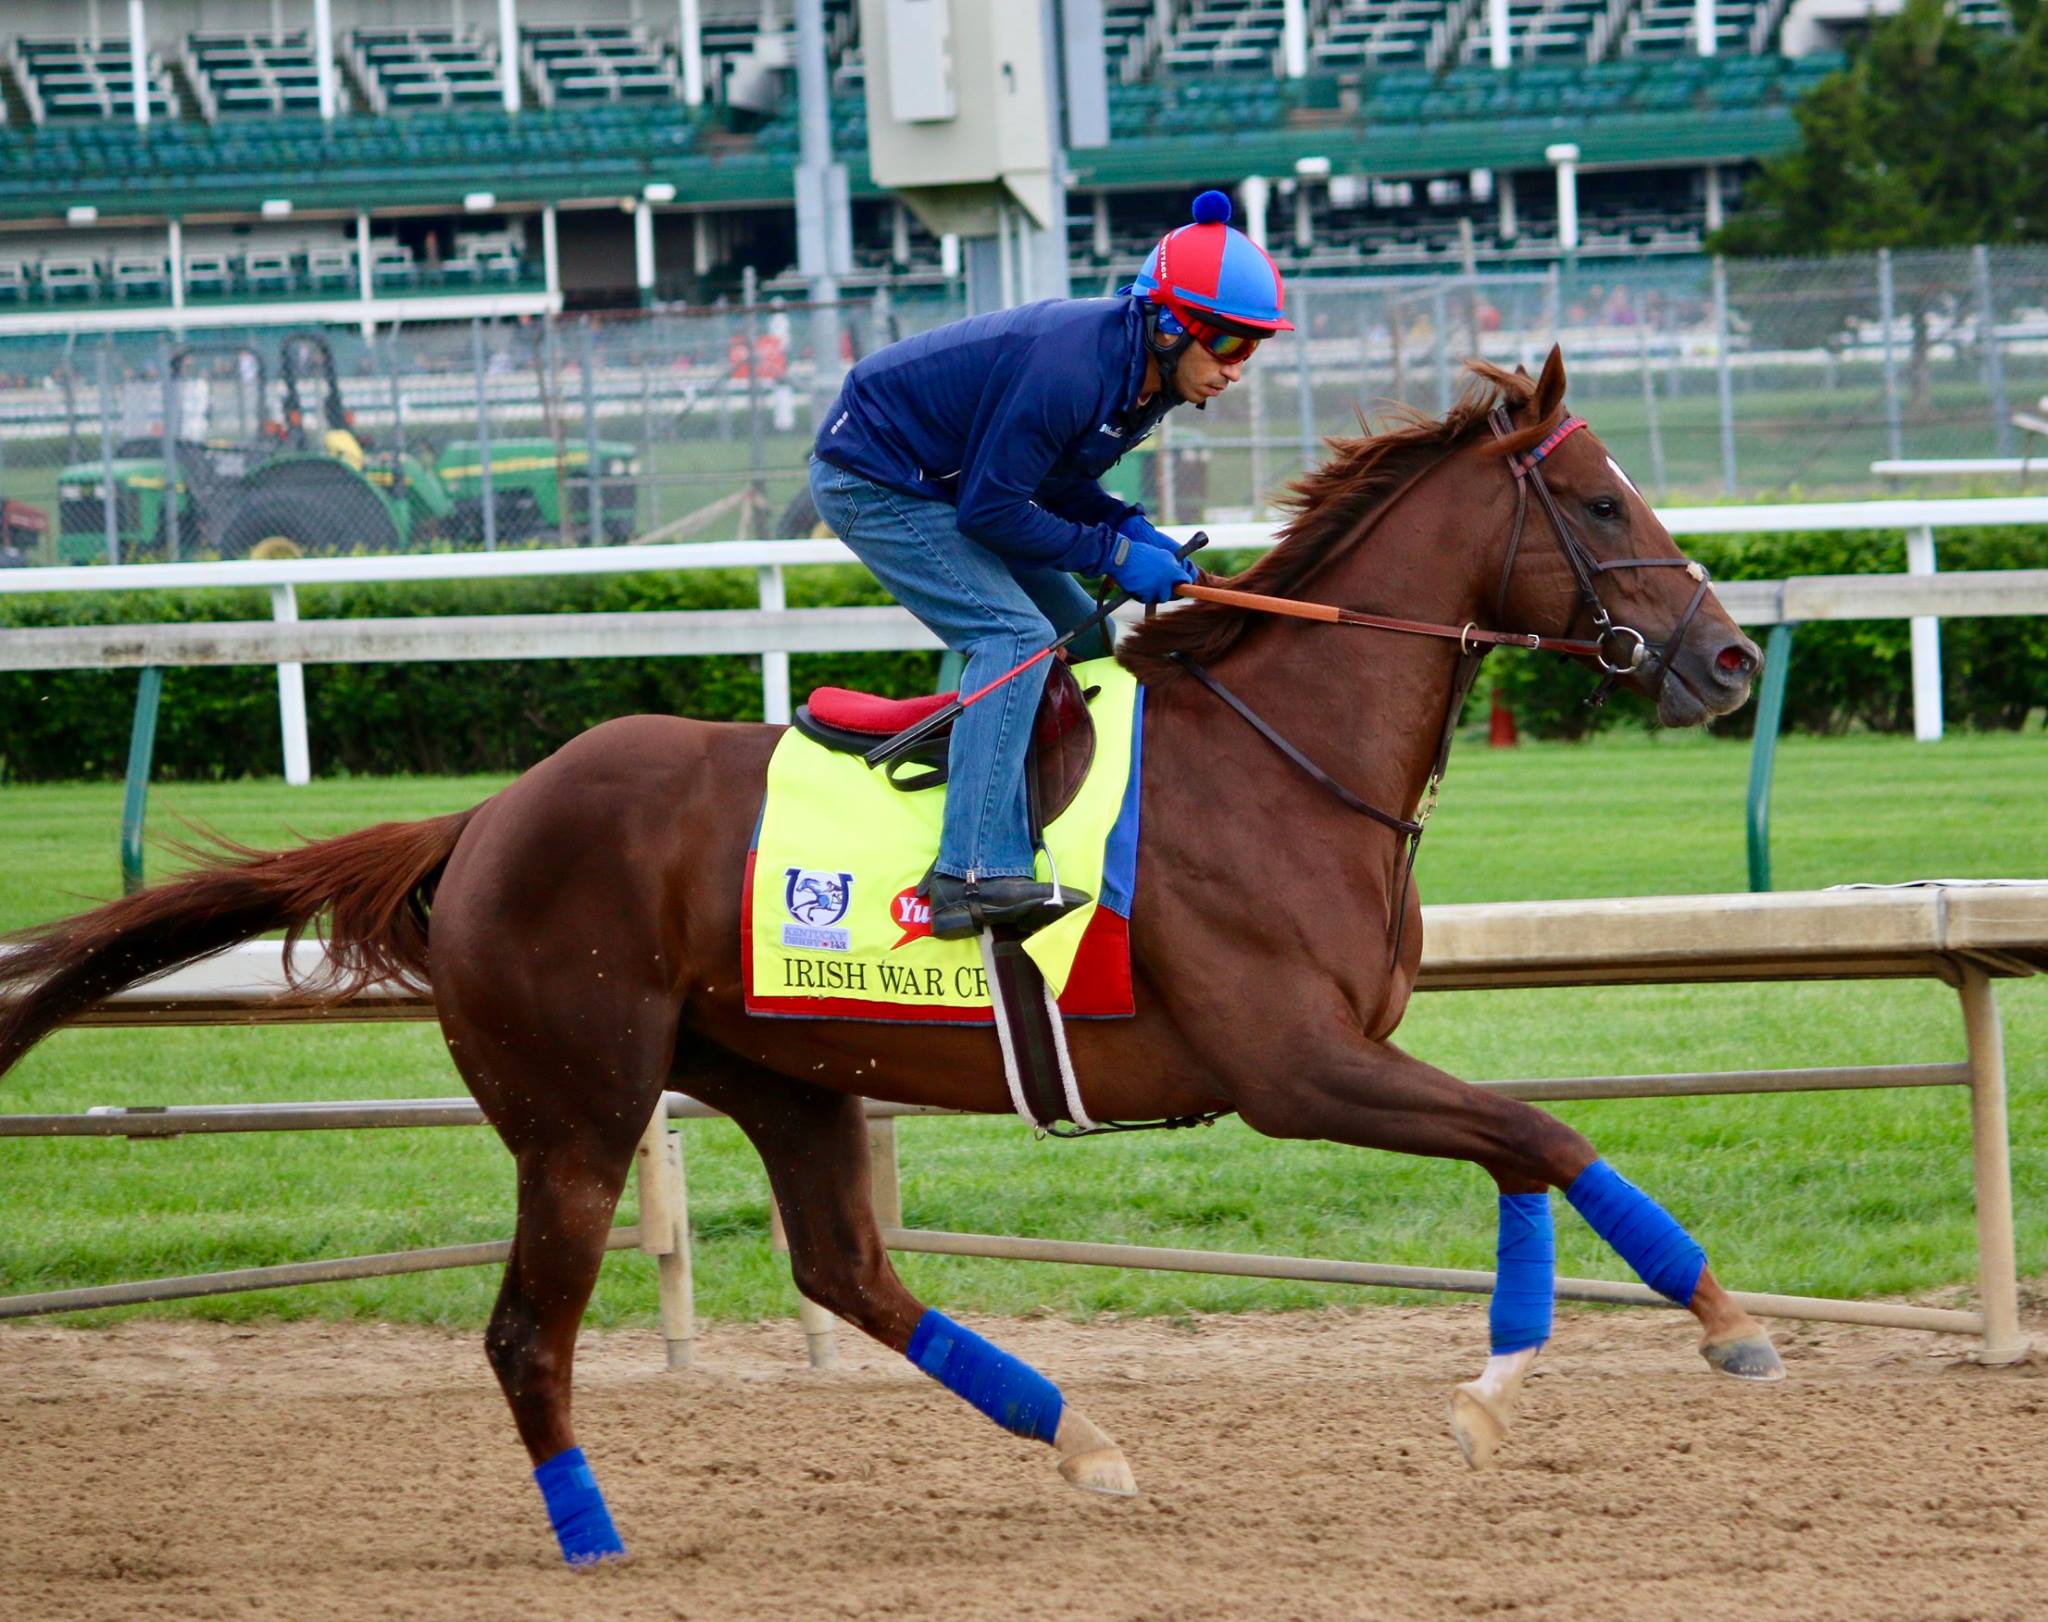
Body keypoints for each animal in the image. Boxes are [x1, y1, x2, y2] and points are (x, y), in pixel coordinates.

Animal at [0, 348, 1777, 1564]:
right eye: (1602, 500)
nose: (1733, 657)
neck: (1283, 754)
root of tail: (485, 817)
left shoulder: (1347, 1057)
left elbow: (1526, 1150)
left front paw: (1539, 1370)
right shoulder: (1293, 1065)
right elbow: (1543, 1132)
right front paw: (1698, 1324)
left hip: (787, 1074)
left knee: (848, 1271)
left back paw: (1081, 1436)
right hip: (578, 1107)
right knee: (524, 1332)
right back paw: (594, 1535)